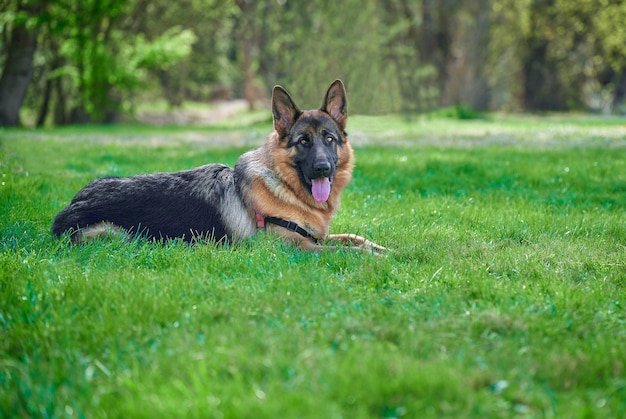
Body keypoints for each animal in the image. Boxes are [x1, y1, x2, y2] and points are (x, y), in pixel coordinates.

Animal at [52, 81, 386, 254]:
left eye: (329, 139)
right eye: (303, 142)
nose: (322, 168)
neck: (282, 184)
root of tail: (68, 206)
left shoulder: (314, 237)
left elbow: (354, 238)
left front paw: (391, 251)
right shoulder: (294, 248)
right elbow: (347, 251)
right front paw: (376, 259)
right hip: (118, 236)